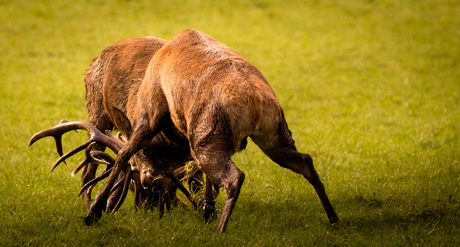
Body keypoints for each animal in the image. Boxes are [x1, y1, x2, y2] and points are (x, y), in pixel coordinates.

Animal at [85, 29, 338, 233]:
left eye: (143, 160)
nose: (148, 182)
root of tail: (255, 103)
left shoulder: (152, 111)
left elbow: (123, 154)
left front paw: (94, 212)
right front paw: (207, 211)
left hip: (209, 135)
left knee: (235, 177)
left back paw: (220, 231)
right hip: (274, 134)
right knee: (305, 160)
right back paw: (334, 219)